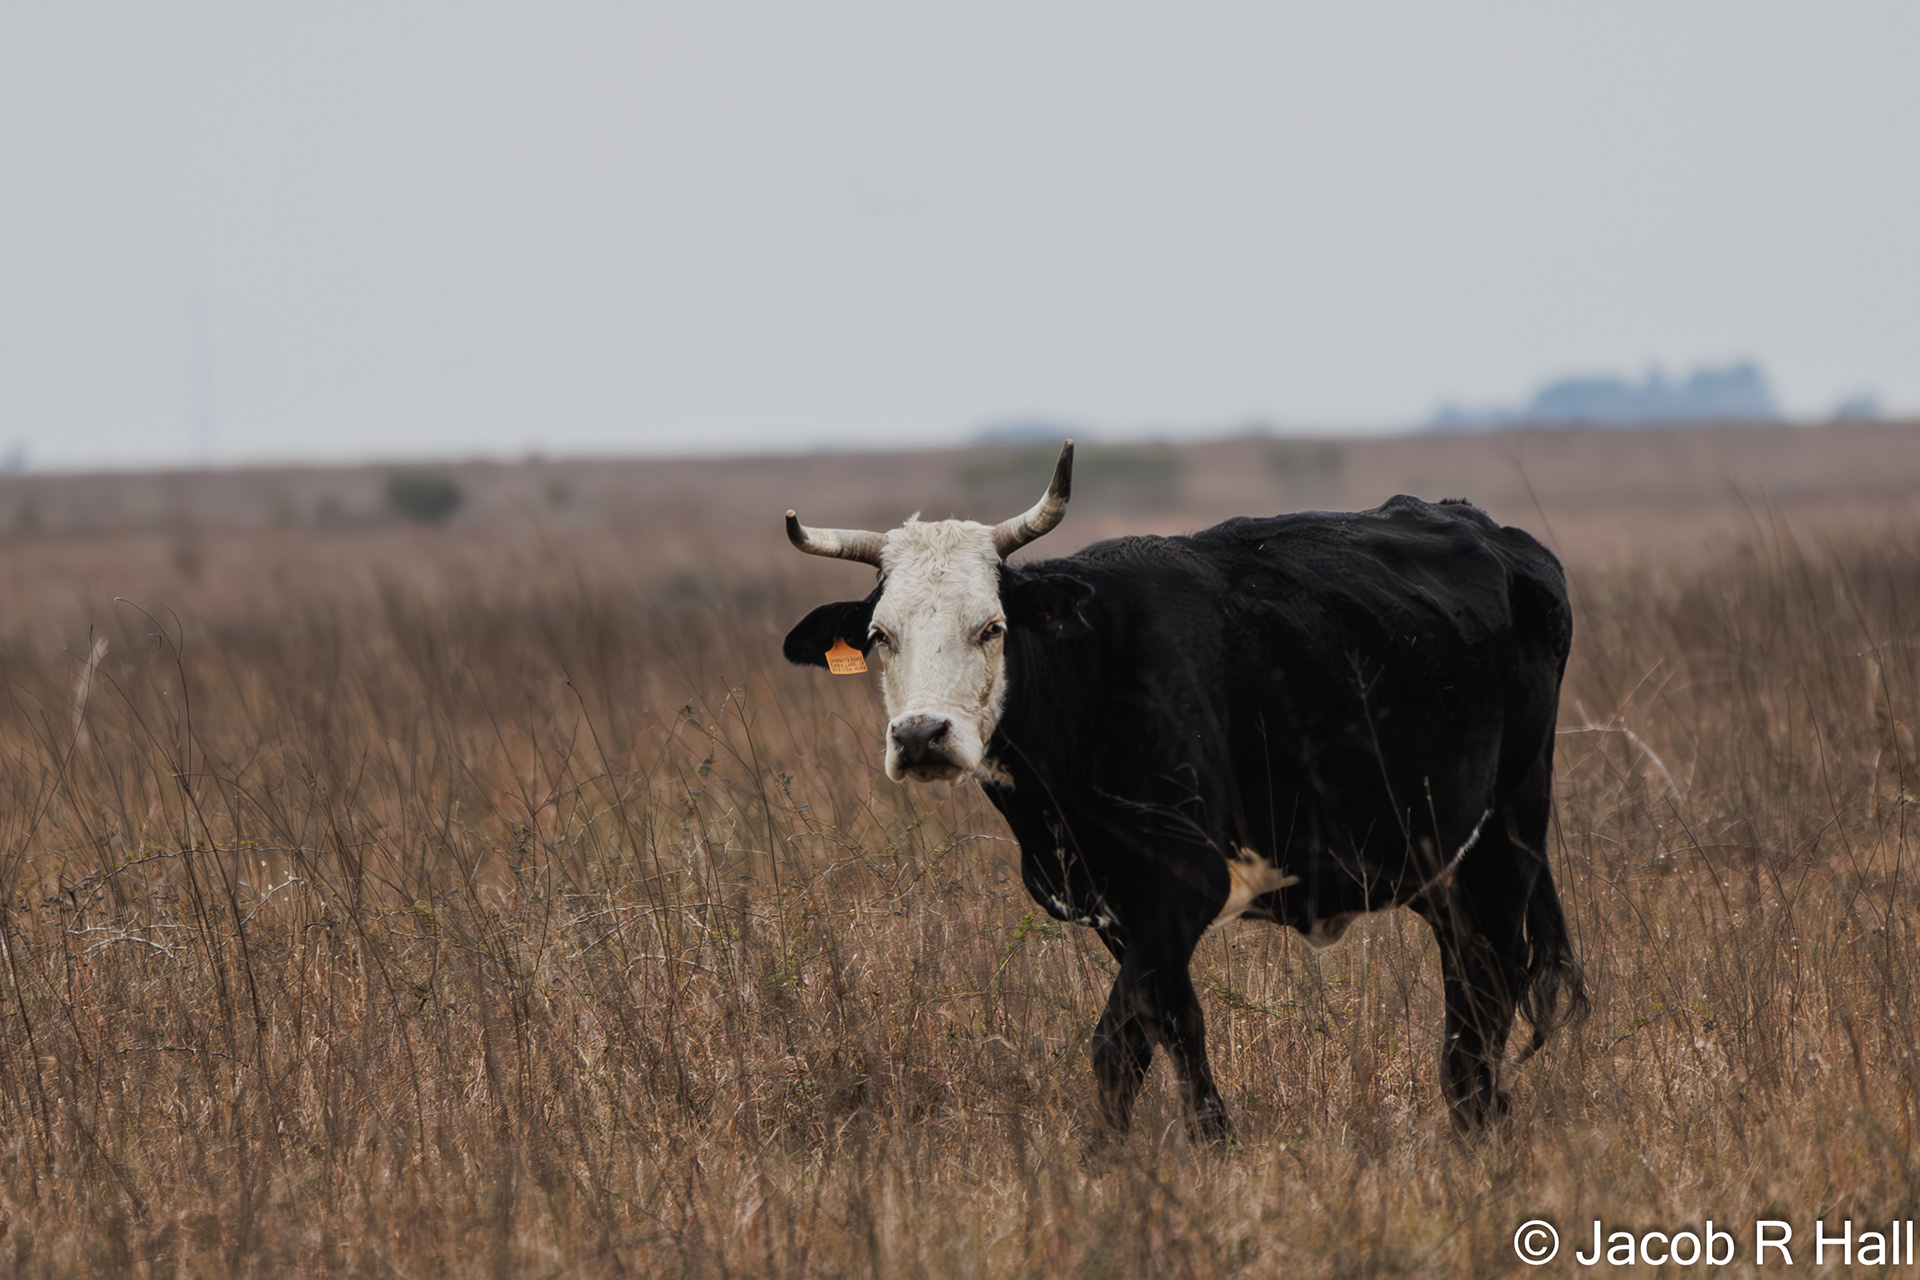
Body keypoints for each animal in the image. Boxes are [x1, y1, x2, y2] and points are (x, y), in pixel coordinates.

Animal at [782, 441, 1587, 1137]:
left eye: (992, 627)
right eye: (880, 635)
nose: (921, 736)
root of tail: (1495, 534)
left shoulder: (1183, 883)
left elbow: (1118, 1044)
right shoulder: (1120, 907)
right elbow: (1176, 1028)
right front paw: (1214, 1143)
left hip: (1508, 835)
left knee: (1491, 982)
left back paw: (1476, 1123)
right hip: (1440, 861)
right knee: (1472, 982)